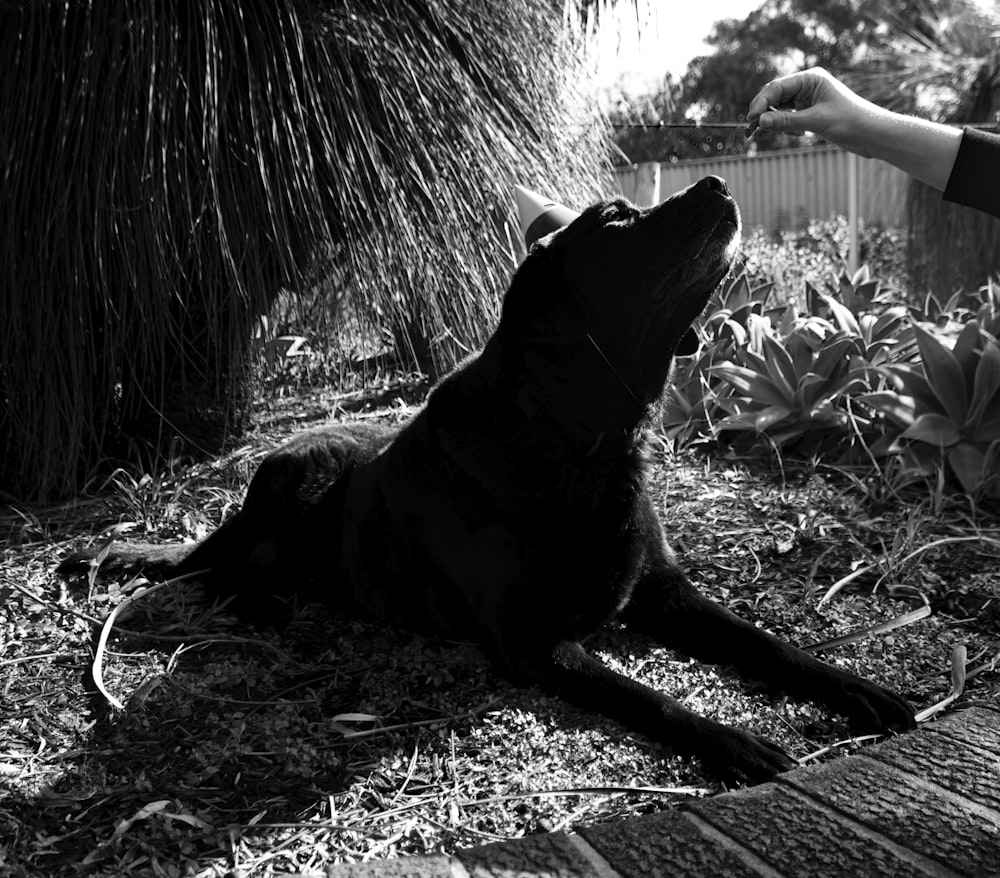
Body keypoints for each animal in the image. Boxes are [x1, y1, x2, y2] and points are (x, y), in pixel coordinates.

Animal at [56, 179, 916, 784]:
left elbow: (766, 643)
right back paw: (263, 602)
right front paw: (735, 741)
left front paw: (855, 687)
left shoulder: (669, 595)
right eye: (616, 221)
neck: (577, 435)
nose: (716, 183)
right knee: (224, 570)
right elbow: (647, 695)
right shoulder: (533, 642)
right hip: (294, 478)